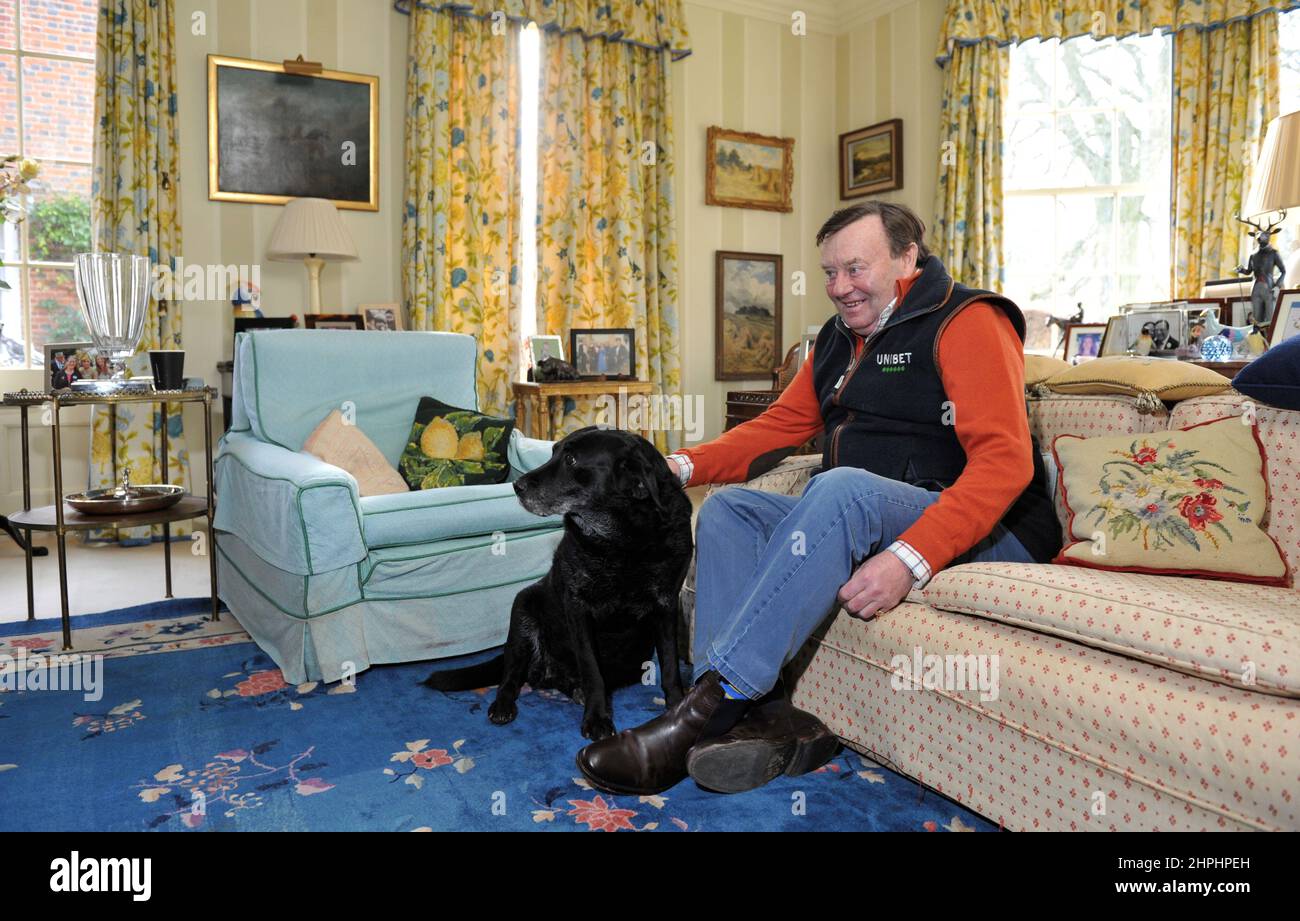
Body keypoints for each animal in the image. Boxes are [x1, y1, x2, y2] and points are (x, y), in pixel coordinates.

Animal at [423, 426, 691, 738]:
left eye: (572, 460)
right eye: (552, 453)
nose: (517, 486)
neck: (622, 539)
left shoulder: (666, 606)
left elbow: (670, 665)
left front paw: (677, 709)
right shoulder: (578, 608)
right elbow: (591, 670)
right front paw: (597, 718)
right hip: (522, 609)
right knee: (511, 675)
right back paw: (503, 705)